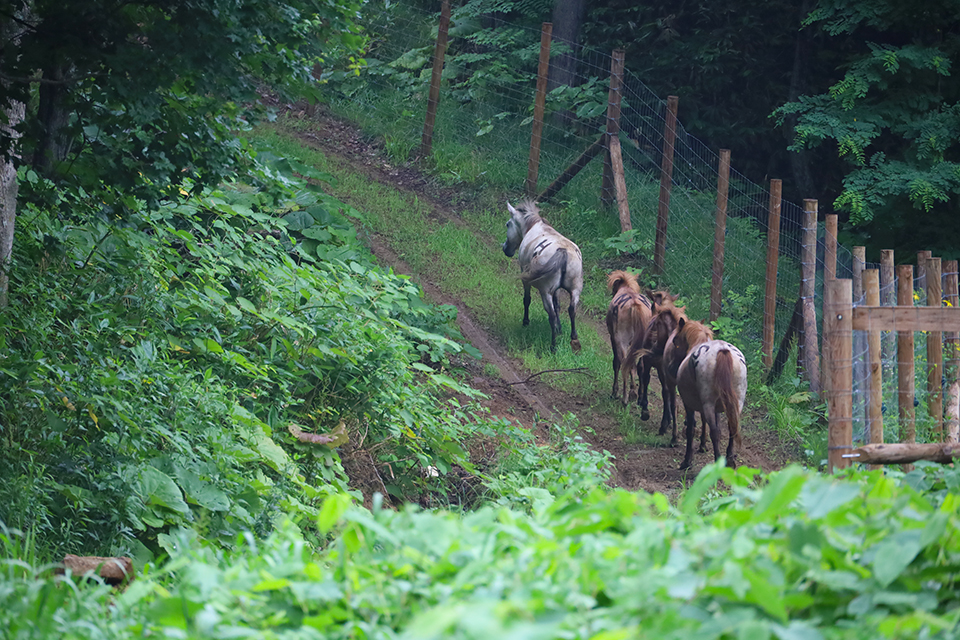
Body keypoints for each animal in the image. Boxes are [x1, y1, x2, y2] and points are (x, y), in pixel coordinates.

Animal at [502, 200, 584, 352]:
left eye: (507, 224)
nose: (505, 249)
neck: (534, 226)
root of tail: (563, 251)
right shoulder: (556, 289)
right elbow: (558, 306)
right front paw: (559, 329)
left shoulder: (526, 279)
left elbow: (527, 300)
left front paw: (526, 321)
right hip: (575, 290)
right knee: (572, 310)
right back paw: (573, 339)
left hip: (545, 291)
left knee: (550, 315)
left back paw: (553, 346)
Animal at [608, 270, 652, 404]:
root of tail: (634, 304)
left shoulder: (613, 339)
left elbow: (616, 362)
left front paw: (615, 391)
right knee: (639, 366)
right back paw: (639, 396)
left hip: (621, 341)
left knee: (625, 363)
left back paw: (626, 396)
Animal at [676, 338, 752, 468]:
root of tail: (722, 348)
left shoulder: (688, 405)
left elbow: (691, 430)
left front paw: (687, 461)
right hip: (738, 402)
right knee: (732, 427)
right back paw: (730, 460)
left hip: (708, 404)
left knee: (714, 433)